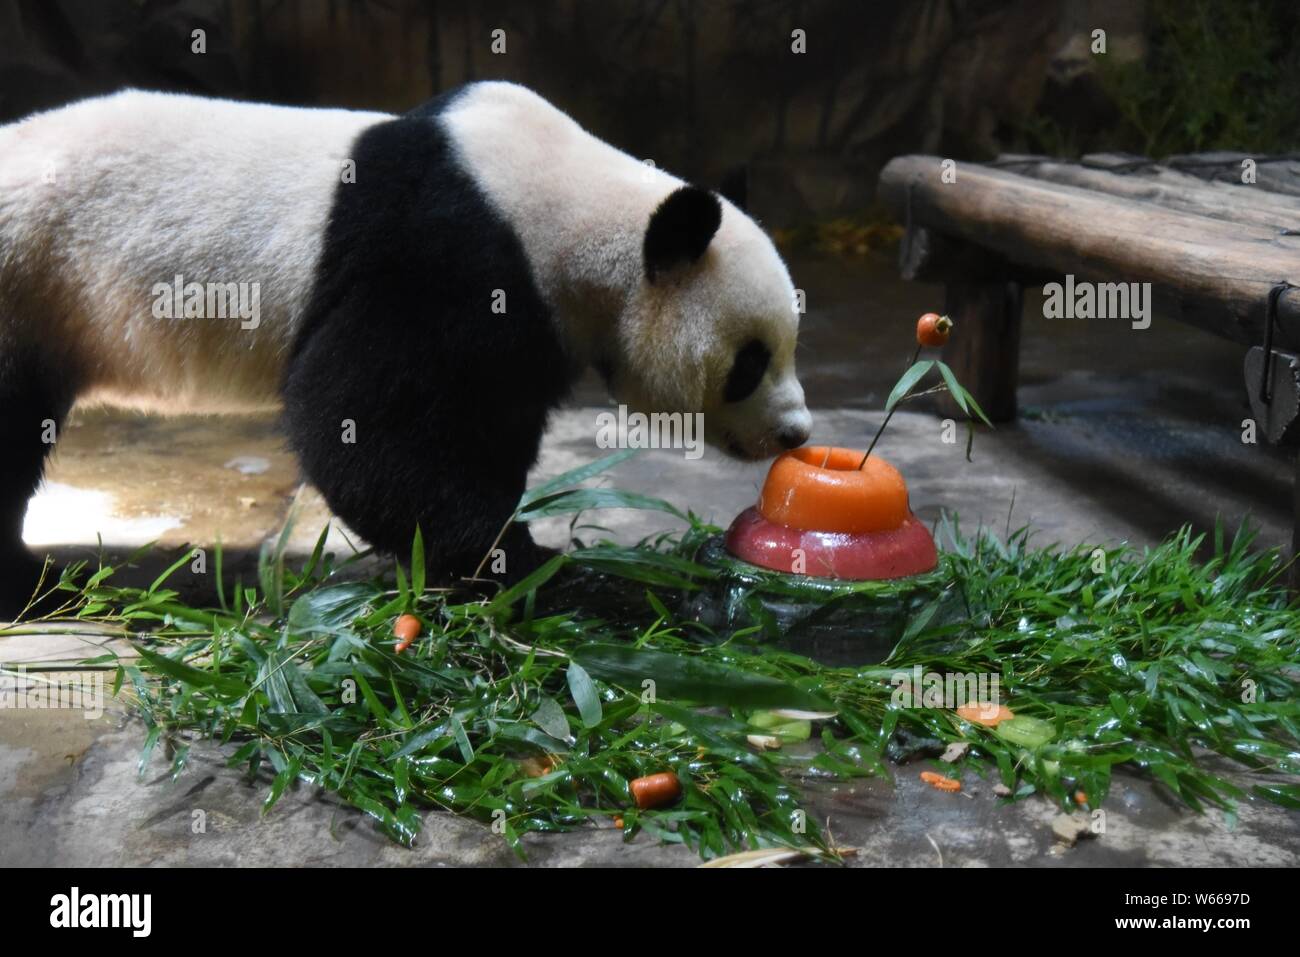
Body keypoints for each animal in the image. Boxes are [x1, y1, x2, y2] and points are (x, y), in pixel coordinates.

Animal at [0, 83, 811, 621]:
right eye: (750, 361)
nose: (795, 434)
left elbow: (483, 425)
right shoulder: (445, 254)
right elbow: (358, 418)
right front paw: (522, 563)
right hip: (31, 280)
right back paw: (35, 589)